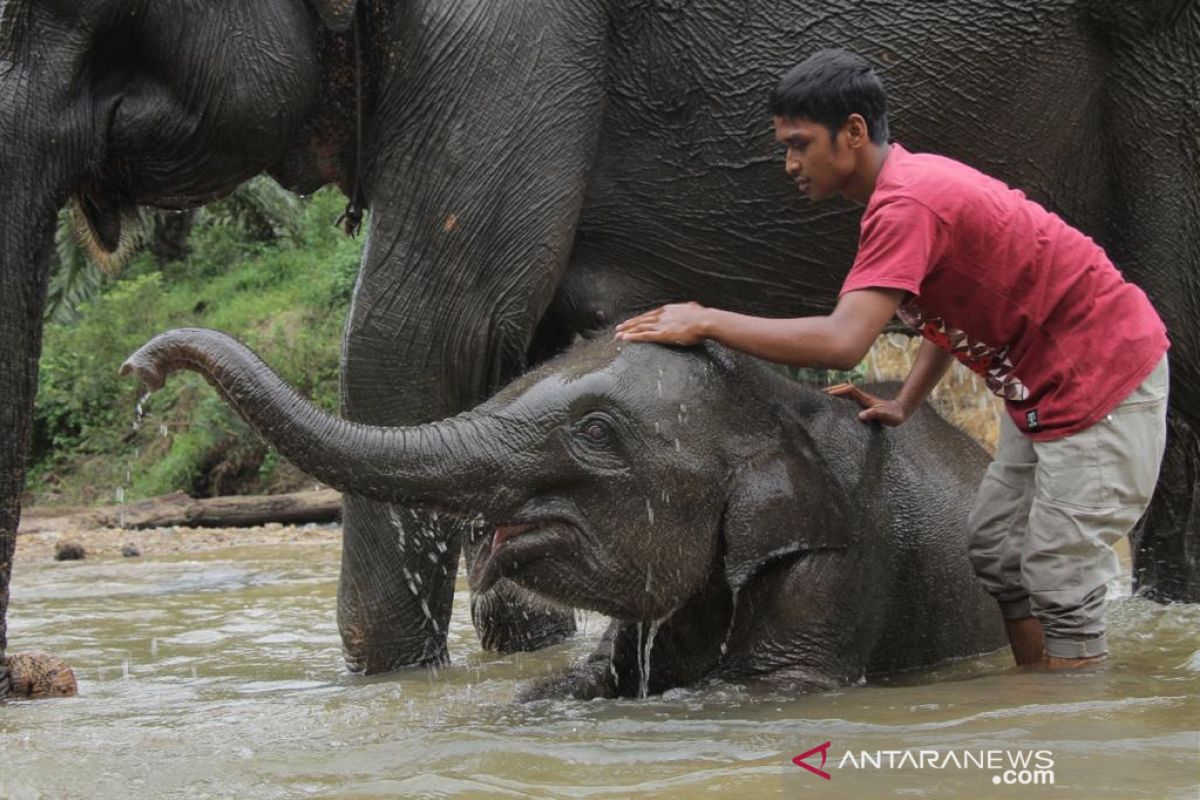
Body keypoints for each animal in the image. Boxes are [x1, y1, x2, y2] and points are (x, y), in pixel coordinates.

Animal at [121, 328, 1008, 695]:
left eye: (595, 432)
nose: (142, 368)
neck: (778, 400)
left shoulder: (837, 562)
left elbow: (771, 687)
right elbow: (598, 673)